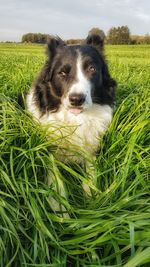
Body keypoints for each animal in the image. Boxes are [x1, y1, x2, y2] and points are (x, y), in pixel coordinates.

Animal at [21, 33, 116, 218]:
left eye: (92, 69)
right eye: (62, 73)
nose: (76, 99)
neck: (74, 119)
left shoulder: (91, 148)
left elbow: (91, 171)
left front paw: (92, 197)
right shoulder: (47, 150)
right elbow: (55, 178)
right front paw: (60, 208)